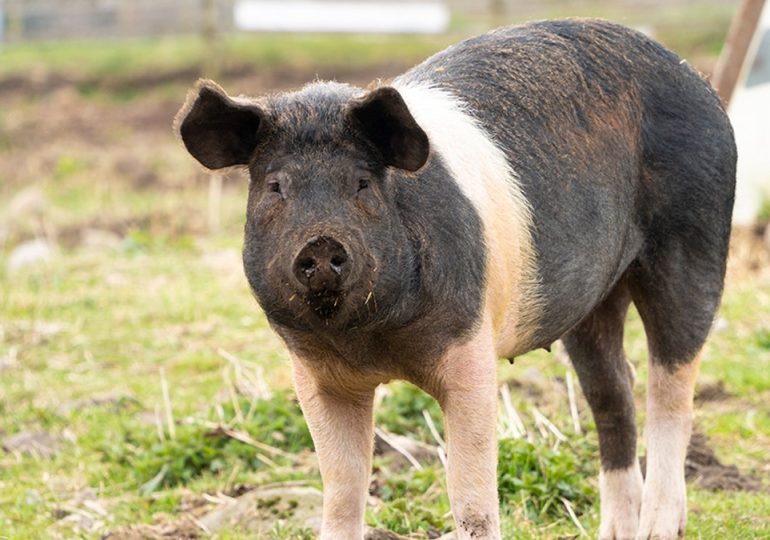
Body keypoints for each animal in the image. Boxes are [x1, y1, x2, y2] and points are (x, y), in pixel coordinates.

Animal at [174, 18, 735, 540]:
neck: (372, 342)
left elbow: (469, 494)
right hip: (591, 301)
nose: (321, 243)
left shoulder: (469, 347)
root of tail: (697, 78)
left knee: (671, 389)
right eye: (275, 186)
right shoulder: (316, 374)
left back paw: (660, 527)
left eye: (362, 182)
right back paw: (615, 531)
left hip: (694, 241)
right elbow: (343, 488)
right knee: (613, 391)